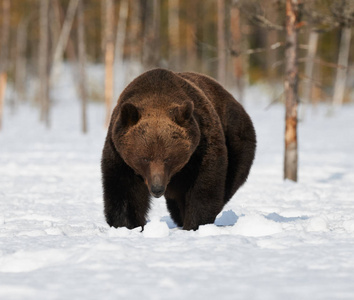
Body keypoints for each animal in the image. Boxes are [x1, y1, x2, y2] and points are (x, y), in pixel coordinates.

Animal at [101, 68, 256, 230]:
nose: (157, 188)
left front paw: (195, 223)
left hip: (236, 137)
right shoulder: (119, 153)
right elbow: (124, 190)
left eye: (168, 158)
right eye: (144, 158)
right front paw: (126, 225)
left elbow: (204, 185)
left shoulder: (200, 148)